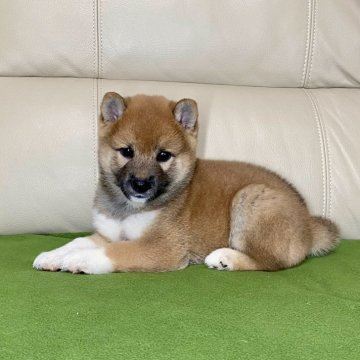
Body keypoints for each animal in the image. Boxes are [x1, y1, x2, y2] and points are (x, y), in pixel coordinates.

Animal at [32, 92, 338, 272]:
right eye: (127, 151)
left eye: (163, 155)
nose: (141, 185)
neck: (127, 208)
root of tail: (308, 223)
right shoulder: (108, 232)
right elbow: (80, 240)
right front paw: (53, 255)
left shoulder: (162, 247)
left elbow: (113, 251)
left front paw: (79, 260)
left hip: (252, 198)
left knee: (273, 262)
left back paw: (225, 258)